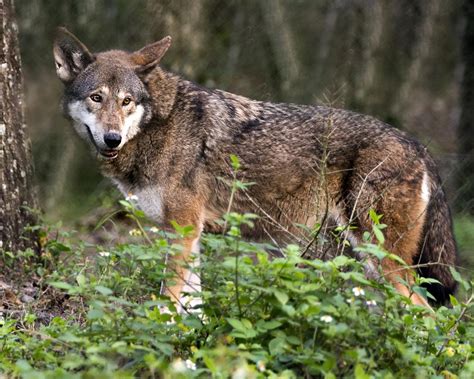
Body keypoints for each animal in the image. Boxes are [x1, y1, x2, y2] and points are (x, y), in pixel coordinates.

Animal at [53, 27, 458, 312]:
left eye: (127, 101)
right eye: (97, 98)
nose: (112, 139)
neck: (159, 124)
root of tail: (419, 146)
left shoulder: (183, 230)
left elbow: (169, 299)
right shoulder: (191, 234)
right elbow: (193, 306)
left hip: (381, 259)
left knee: (426, 314)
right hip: (368, 263)